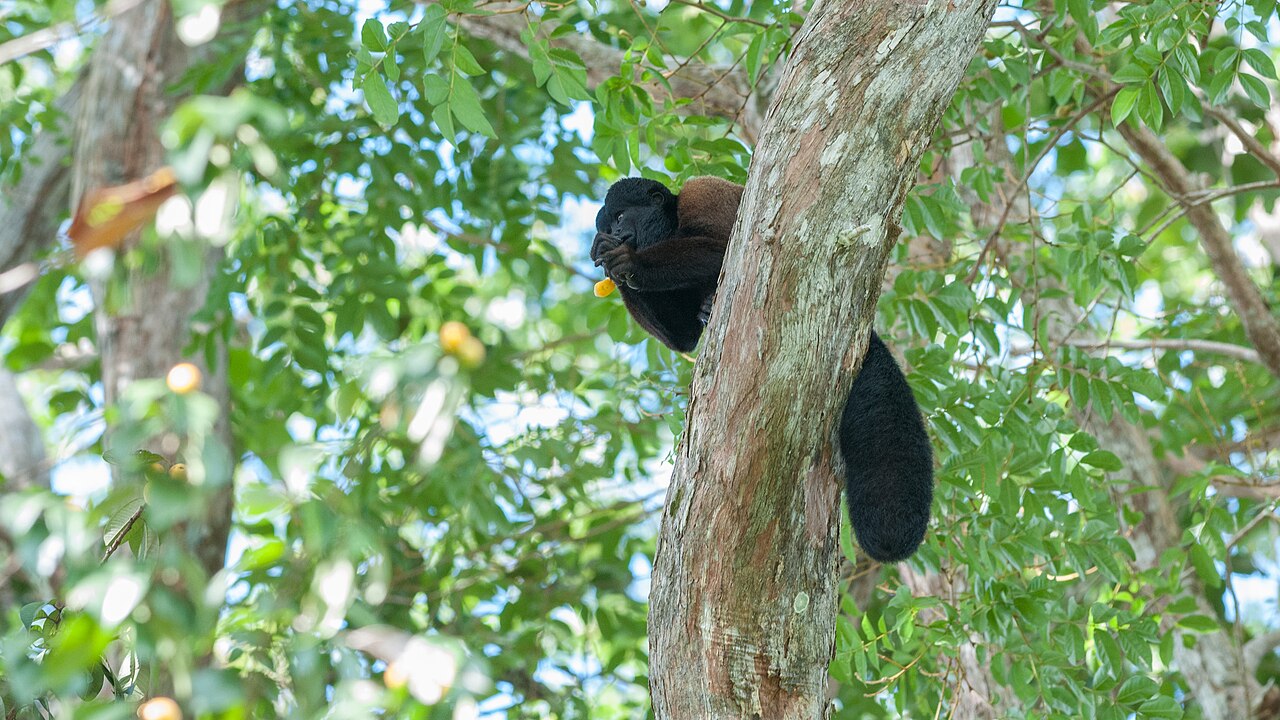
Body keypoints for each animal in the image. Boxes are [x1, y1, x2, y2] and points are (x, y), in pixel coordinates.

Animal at [590, 176, 933, 563]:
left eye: (620, 216)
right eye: (608, 224)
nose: (616, 232)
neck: (669, 223)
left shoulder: (701, 190)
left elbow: (719, 248)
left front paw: (629, 262)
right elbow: (683, 337)